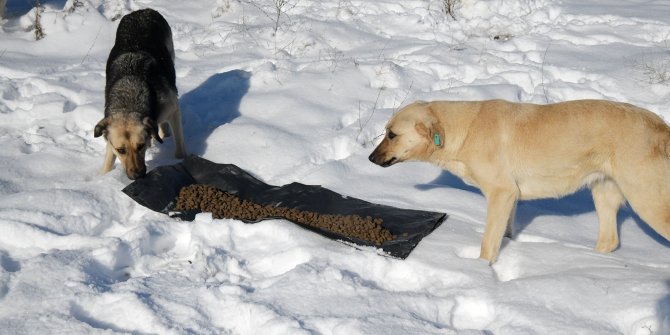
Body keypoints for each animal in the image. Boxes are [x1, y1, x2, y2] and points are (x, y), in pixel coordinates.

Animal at [93, 7, 185, 180]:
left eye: (141, 146)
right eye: (121, 150)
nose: (137, 176)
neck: (128, 99)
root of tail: (143, 10)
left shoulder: (173, 109)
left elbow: (180, 146)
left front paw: (180, 160)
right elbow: (108, 161)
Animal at [370, 100, 670, 266]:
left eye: (392, 134)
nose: (370, 158)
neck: (463, 131)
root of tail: (660, 125)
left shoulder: (501, 192)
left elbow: (488, 243)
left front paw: (479, 271)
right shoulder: (510, 197)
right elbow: (505, 233)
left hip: (647, 200)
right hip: (603, 192)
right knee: (610, 240)